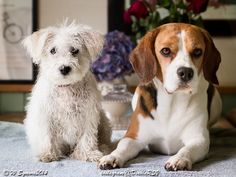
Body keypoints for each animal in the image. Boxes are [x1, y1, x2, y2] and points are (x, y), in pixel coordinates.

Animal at [22, 22, 111, 162]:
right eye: (52, 50)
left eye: (74, 50)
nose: (64, 68)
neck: (66, 88)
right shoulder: (46, 115)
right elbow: (47, 135)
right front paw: (47, 154)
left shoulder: (88, 114)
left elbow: (87, 137)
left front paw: (88, 154)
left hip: (104, 122)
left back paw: (103, 148)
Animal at [98, 22, 221, 171]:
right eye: (165, 51)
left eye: (197, 51)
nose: (186, 72)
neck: (172, 101)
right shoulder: (133, 137)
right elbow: (122, 147)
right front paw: (111, 156)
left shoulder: (199, 139)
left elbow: (187, 149)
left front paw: (179, 159)